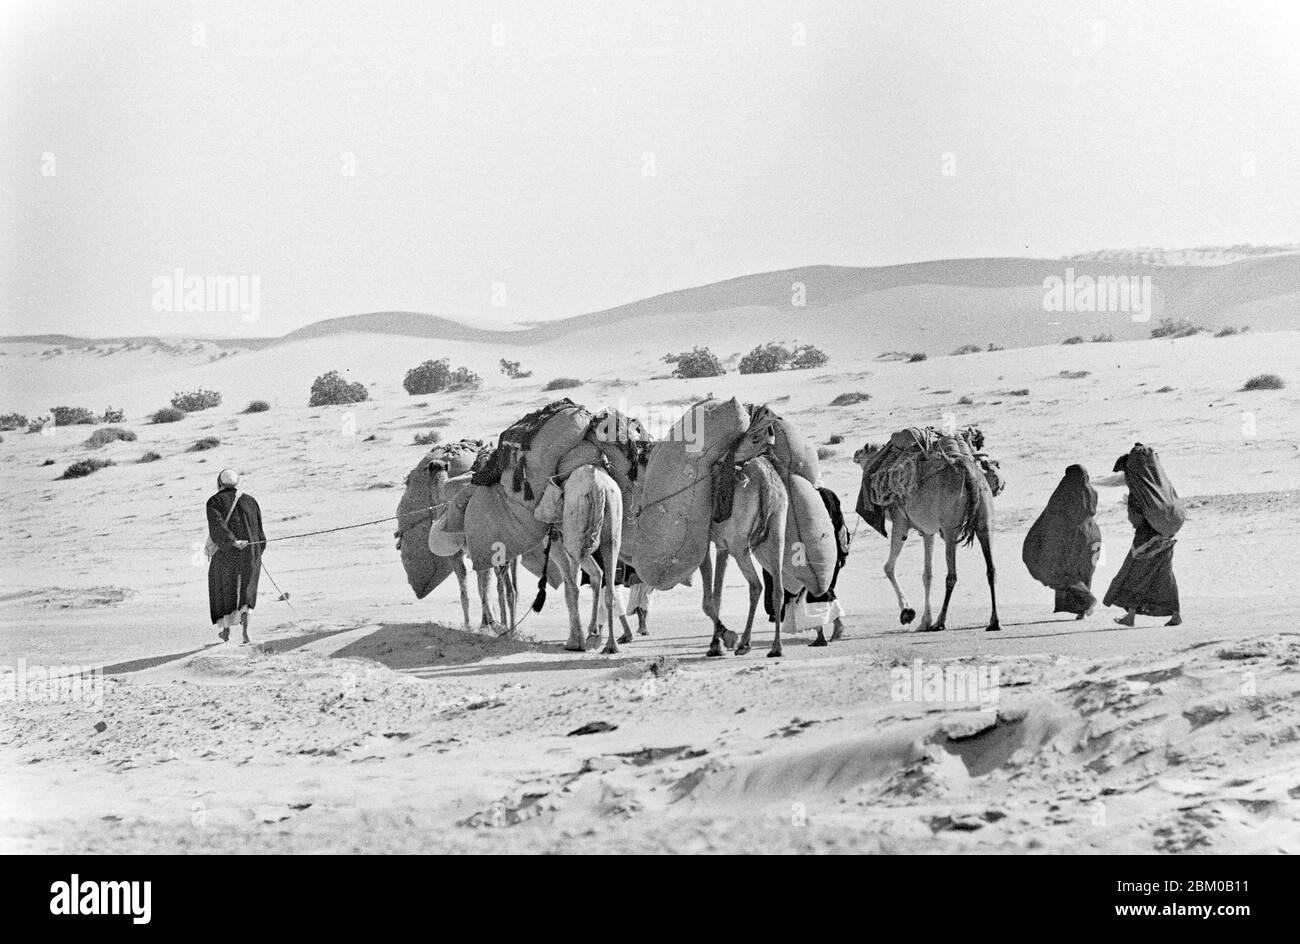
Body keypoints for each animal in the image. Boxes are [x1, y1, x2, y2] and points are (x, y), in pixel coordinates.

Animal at [857, 436, 998, 637]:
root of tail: (970, 474)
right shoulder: (927, 531)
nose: (855, 453)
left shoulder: (901, 521)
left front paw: (907, 613)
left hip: (950, 527)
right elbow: (927, 574)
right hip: (985, 519)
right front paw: (924, 621)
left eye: (864, 449)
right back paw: (994, 621)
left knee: (952, 575)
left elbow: (888, 567)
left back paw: (940, 622)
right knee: (991, 569)